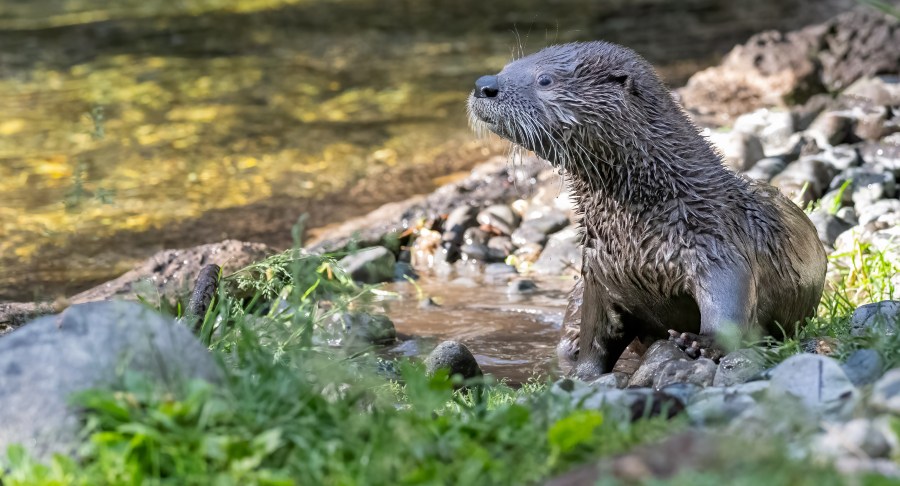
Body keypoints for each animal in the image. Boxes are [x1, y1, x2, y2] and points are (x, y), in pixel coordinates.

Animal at [468, 41, 828, 380]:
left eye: (544, 79)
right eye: (508, 66)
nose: (484, 84)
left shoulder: (718, 248)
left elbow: (729, 308)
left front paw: (702, 343)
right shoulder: (598, 273)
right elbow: (595, 333)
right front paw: (583, 375)